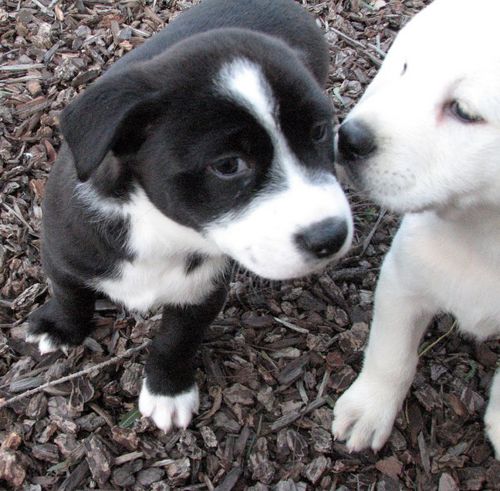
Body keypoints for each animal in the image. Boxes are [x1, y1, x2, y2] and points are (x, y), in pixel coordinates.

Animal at [27, 0, 354, 432]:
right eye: (228, 165)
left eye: (319, 132)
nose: (332, 236)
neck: (158, 228)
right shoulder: (62, 250)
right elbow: (69, 293)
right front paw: (60, 328)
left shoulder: (202, 289)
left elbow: (176, 340)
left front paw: (168, 390)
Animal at [332, 0, 500, 458]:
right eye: (406, 69)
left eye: (464, 111)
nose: (348, 138)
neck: (483, 234)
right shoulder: (403, 279)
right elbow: (391, 355)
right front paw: (369, 409)